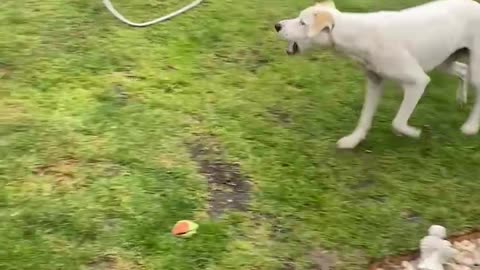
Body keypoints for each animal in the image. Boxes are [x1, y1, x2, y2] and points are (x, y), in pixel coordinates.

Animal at [274, 0, 480, 148]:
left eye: (303, 23)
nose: (277, 25)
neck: (358, 34)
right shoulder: (374, 82)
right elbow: (364, 118)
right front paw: (353, 140)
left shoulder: (418, 81)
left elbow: (398, 122)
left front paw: (414, 133)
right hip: (443, 62)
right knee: (463, 70)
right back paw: (461, 99)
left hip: (474, 69)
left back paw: (470, 127)